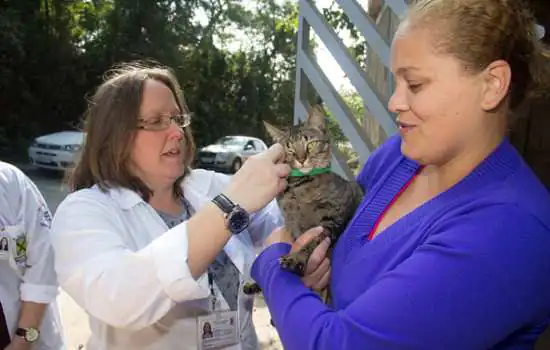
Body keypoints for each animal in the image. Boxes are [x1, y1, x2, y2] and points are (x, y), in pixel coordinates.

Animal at [244, 104, 364, 300]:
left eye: (311, 144)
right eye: (289, 148)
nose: (301, 159)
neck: (299, 187)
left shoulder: (332, 220)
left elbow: (312, 242)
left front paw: (295, 259)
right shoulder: (292, 225)